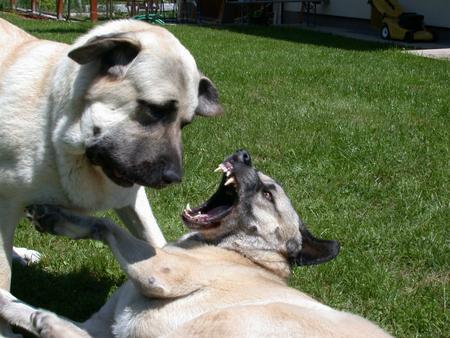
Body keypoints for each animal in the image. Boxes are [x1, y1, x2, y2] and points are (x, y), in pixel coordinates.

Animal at [0, 17, 221, 336]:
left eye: (186, 123)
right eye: (155, 110)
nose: (173, 177)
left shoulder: (133, 199)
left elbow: (154, 243)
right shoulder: (6, 206)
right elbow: (2, 274)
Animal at [0, 151, 390, 338]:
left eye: (268, 193)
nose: (243, 154)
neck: (239, 252)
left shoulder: (161, 270)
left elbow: (108, 224)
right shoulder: (99, 326)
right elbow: (23, 308)